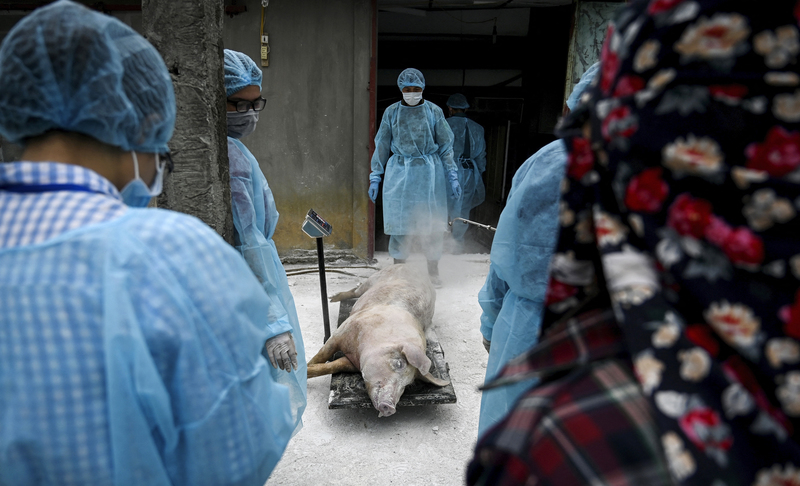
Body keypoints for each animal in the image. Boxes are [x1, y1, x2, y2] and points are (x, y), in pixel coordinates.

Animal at [304, 262, 446, 418]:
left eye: (409, 384)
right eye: (399, 363)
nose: (390, 407)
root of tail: (409, 264)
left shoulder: (352, 362)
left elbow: (332, 366)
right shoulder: (343, 330)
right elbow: (322, 354)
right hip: (373, 278)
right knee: (356, 290)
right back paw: (332, 298)